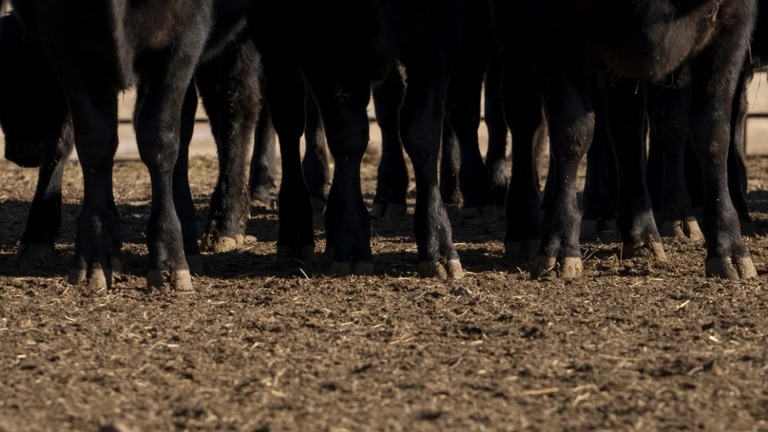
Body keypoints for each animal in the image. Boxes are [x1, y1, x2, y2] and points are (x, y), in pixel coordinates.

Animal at [498, 0, 756, 280]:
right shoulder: (548, 21)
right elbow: (572, 131)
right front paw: (559, 248)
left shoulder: (733, 20)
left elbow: (712, 132)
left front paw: (728, 247)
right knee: (524, 117)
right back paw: (523, 229)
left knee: (626, 126)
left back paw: (642, 235)